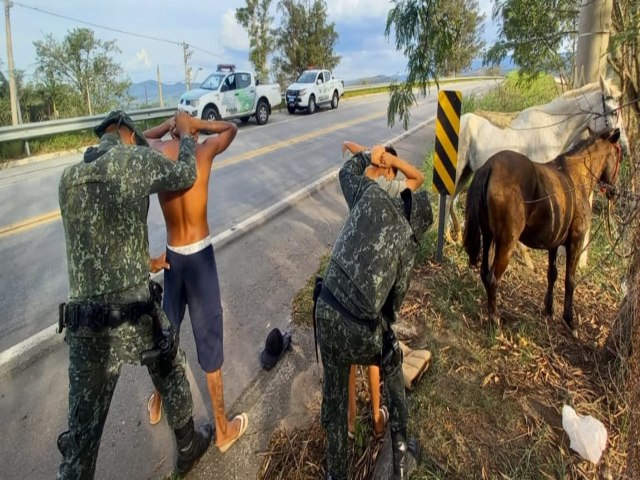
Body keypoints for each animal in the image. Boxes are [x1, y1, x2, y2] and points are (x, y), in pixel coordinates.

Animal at [462, 129, 624, 332]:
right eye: (620, 156)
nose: (614, 191)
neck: (575, 177)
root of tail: (490, 166)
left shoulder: (553, 244)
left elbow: (552, 274)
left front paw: (549, 308)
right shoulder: (576, 242)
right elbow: (570, 280)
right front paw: (569, 319)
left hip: (488, 236)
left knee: (484, 273)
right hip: (506, 242)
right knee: (492, 278)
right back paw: (495, 321)